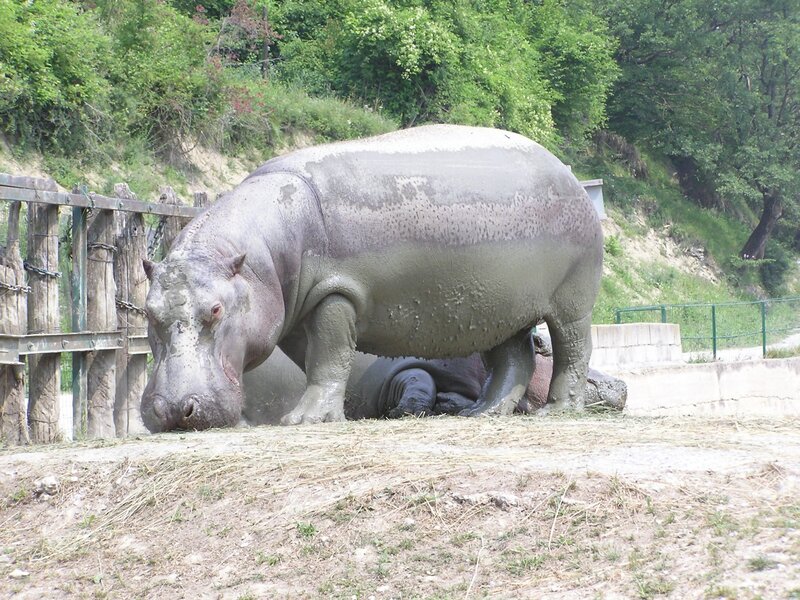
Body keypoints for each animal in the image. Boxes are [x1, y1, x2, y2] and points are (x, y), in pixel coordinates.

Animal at [141, 125, 603, 432]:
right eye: (147, 312)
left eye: (217, 310)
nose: (173, 411)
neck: (259, 258)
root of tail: (568, 172)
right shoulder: (298, 314)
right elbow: (320, 360)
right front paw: (336, 411)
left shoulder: (335, 294)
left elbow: (328, 354)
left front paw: (304, 420)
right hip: (500, 308)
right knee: (515, 357)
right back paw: (484, 412)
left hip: (571, 302)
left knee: (573, 348)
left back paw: (559, 409)